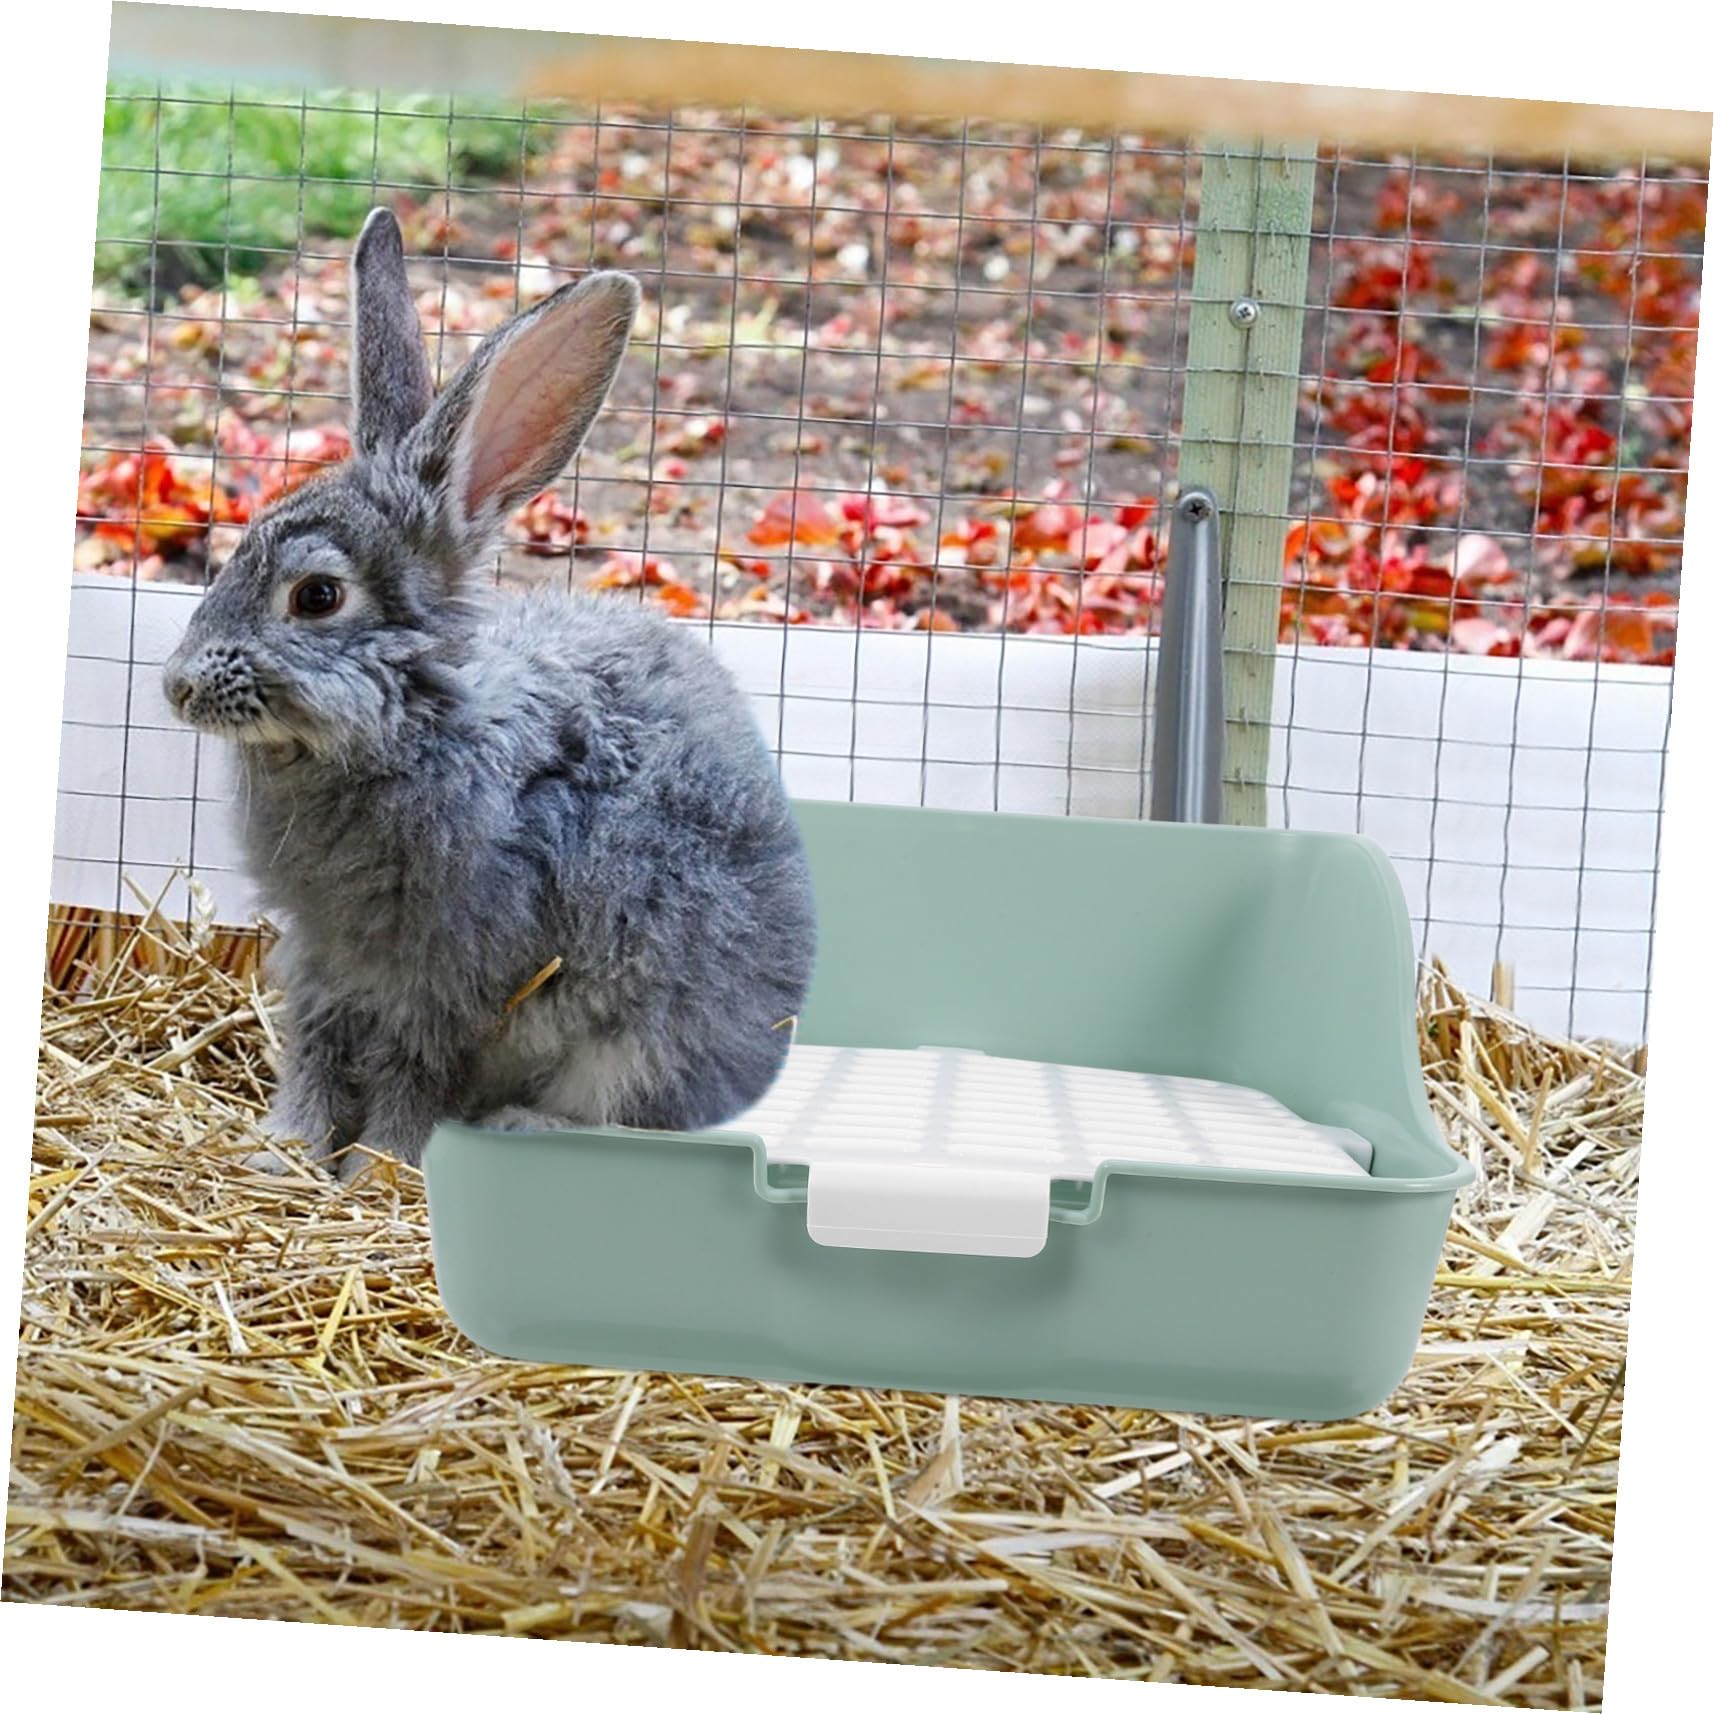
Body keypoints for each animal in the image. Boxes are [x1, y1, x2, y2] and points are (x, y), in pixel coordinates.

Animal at [162, 208, 817, 1182]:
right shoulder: (322, 960)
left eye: (316, 597)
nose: (177, 686)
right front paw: (284, 1152)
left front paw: (378, 1169)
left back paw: (519, 1130)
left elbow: (411, 1073)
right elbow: (314, 1051)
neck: (416, 725)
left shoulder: (451, 979)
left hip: (640, 1046)